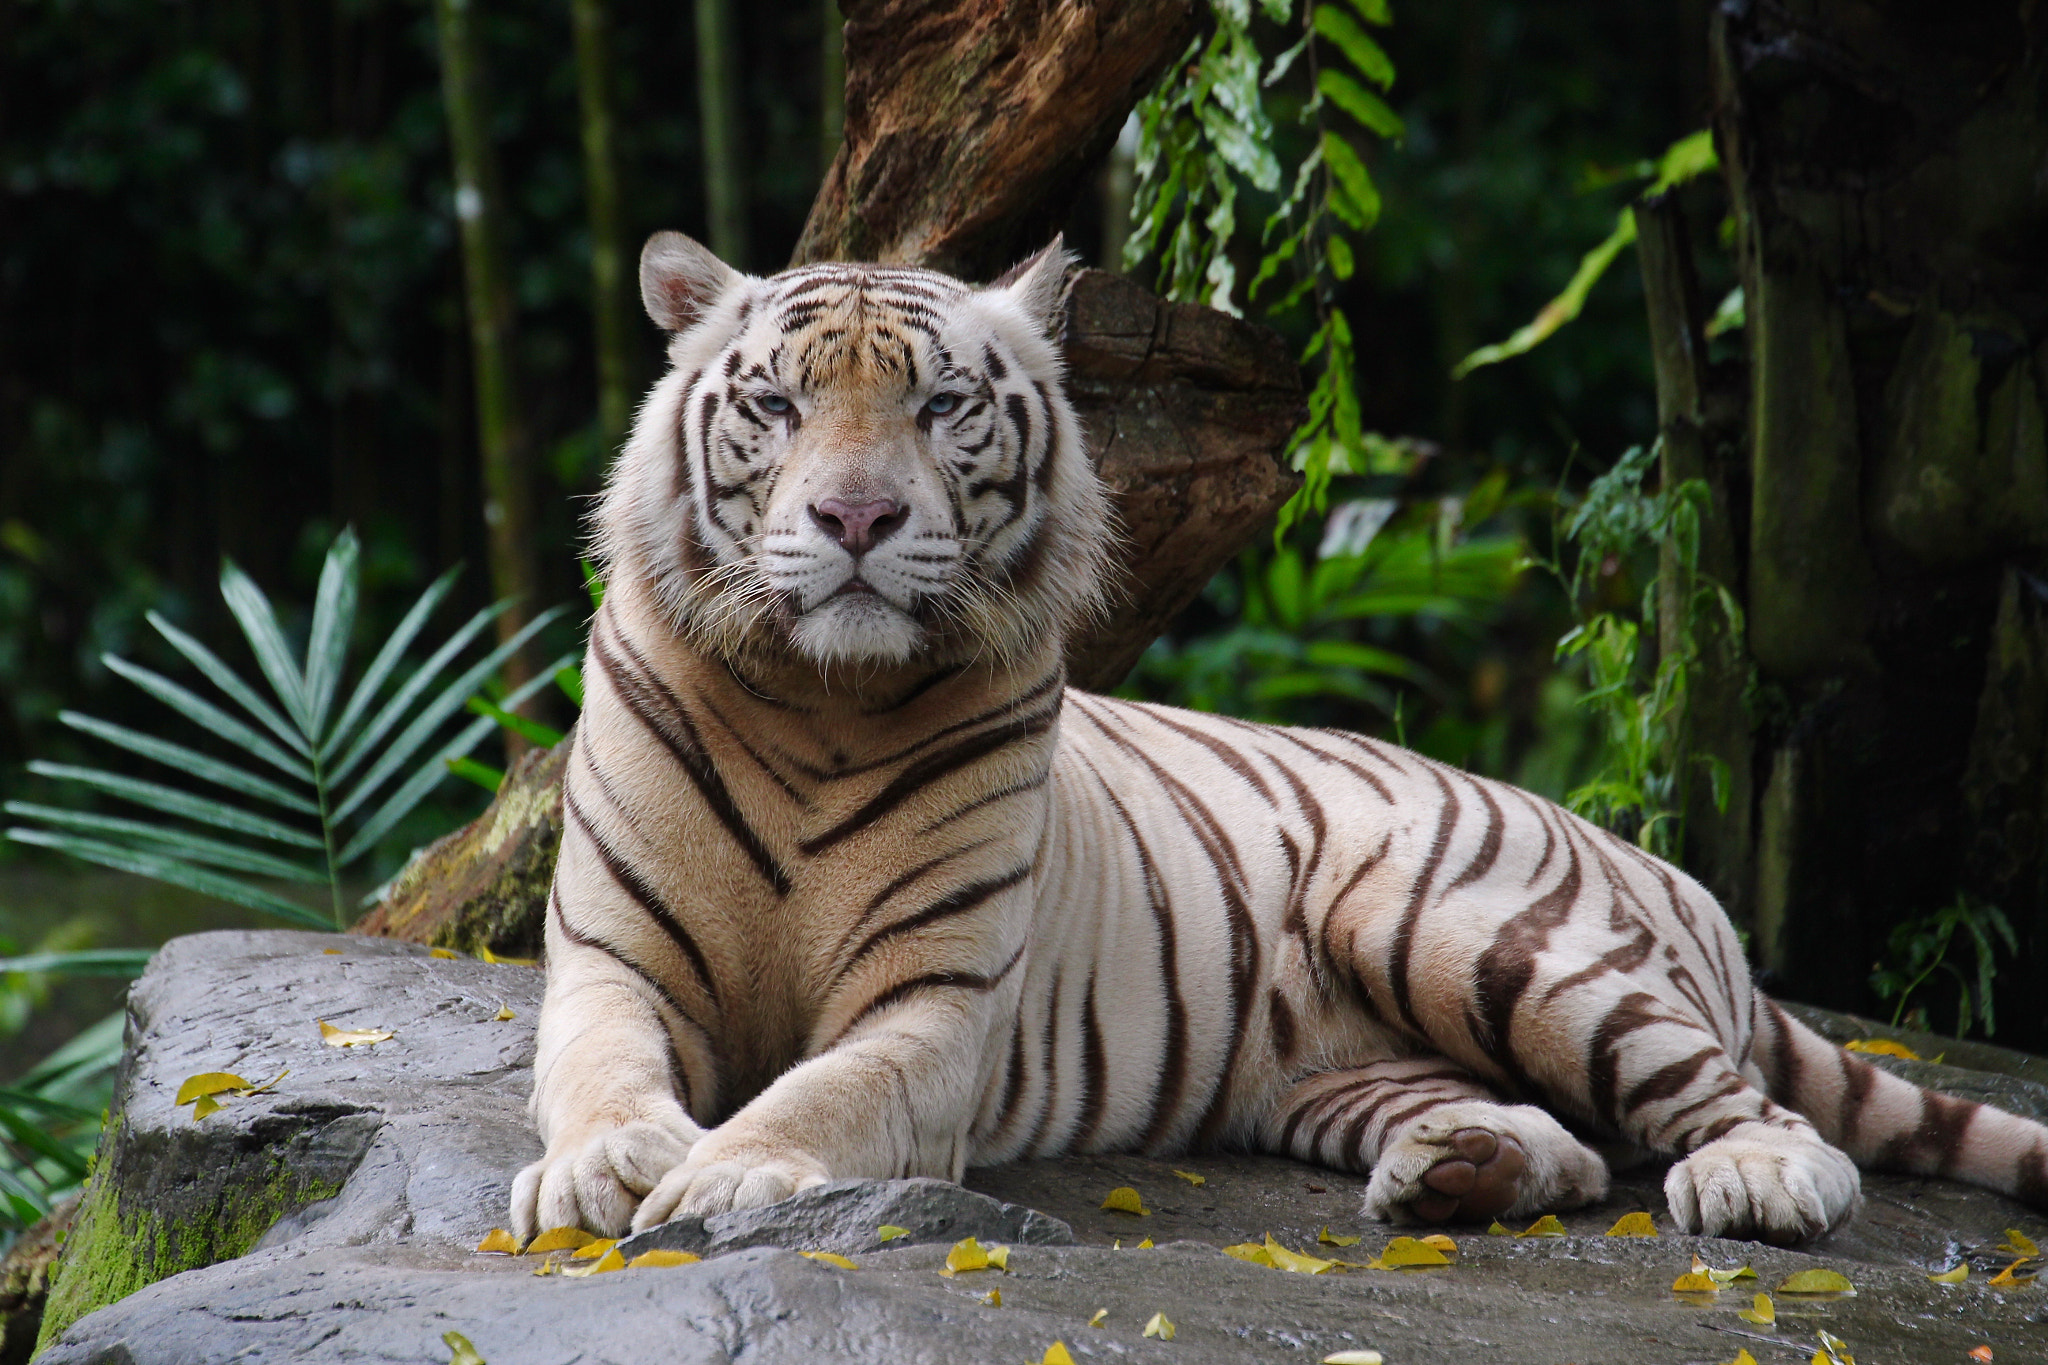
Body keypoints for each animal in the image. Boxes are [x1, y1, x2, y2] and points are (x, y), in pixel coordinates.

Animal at [509, 229, 2048, 1247]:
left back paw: (1753, 1184)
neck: (818, 695)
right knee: (1572, 1148)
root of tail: (1668, 874)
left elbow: (826, 1096)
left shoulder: (936, 1004)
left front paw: (720, 1176)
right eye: (776, 405)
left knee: (1750, 1114)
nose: (856, 519)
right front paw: (604, 1166)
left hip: (1472, 931)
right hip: (1349, 1060)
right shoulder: (610, 956)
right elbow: (594, 1068)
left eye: (941, 406)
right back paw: (1460, 1170)